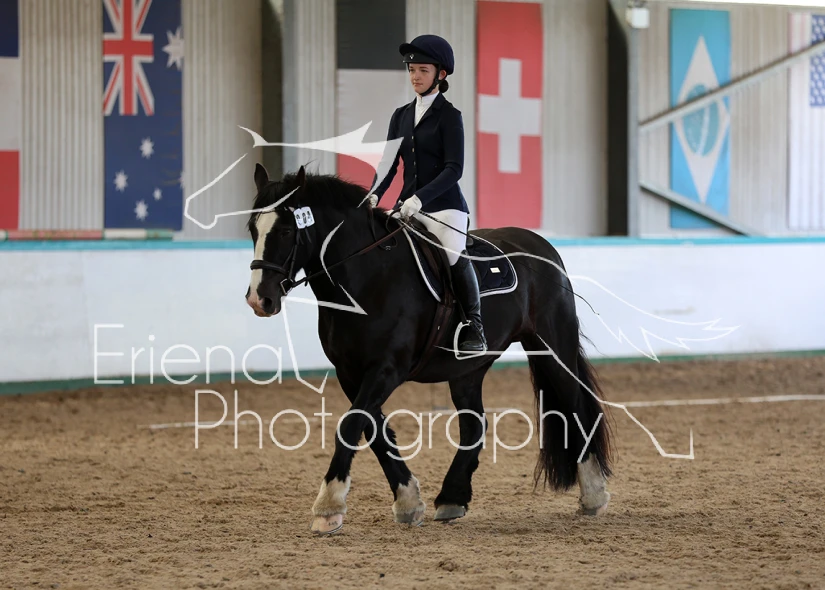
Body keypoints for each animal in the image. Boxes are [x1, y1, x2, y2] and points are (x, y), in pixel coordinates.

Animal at [244, 163, 613, 534]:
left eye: (287, 230)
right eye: (252, 228)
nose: (260, 300)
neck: (367, 278)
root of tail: (542, 246)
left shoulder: (387, 369)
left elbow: (350, 427)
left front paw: (328, 506)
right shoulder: (351, 373)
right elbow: (374, 430)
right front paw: (408, 501)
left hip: (552, 348)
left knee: (575, 407)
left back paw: (593, 494)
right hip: (468, 368)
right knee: (475, 424)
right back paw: (452, 498)